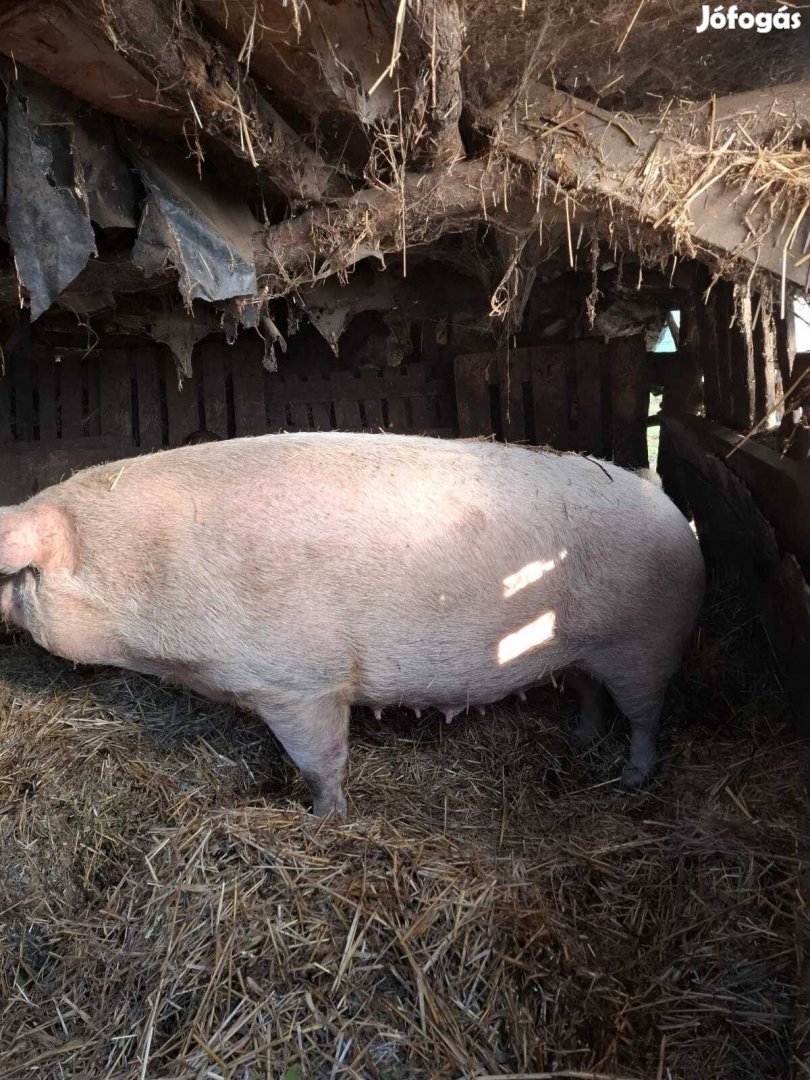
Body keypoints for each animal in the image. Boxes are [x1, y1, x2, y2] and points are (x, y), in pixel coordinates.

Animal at [0, 429, 704, 812]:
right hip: (583, 649)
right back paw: (580, 740)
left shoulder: (297, 682)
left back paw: (630, 778)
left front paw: (323, 818)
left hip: (644, 645)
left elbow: (322, 759)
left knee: (646, 717)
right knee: (588, 692)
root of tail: (663, 499)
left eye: (16, 576)